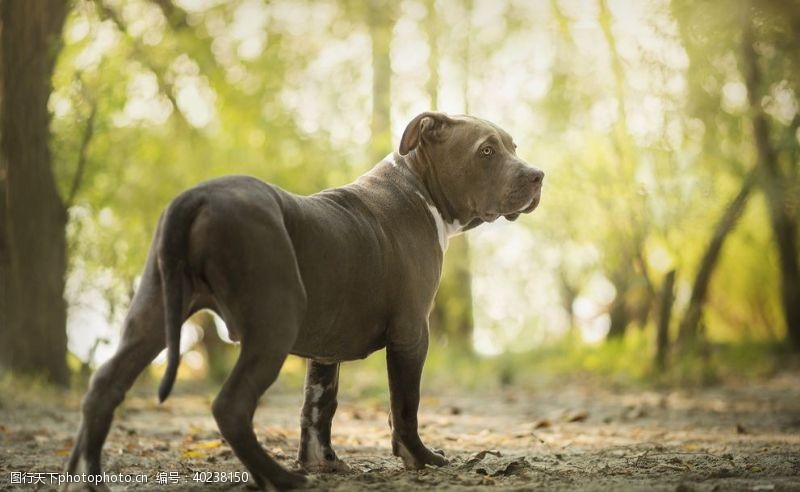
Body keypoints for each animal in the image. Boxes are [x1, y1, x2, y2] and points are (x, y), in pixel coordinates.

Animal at [67, 111, 544, 488]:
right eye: (486, 151)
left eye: (513, 146)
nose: (537, 175)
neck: (418, 187)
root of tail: (196, 196)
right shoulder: (412, 334)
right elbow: (405, 404)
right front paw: (421, 460)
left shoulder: (325, 347)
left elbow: (318, 406)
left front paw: (323, 463)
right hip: (274, 324)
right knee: (230, 406)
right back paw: (279, 479)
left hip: (150, 314)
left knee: (102, 388)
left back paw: (86, 478)